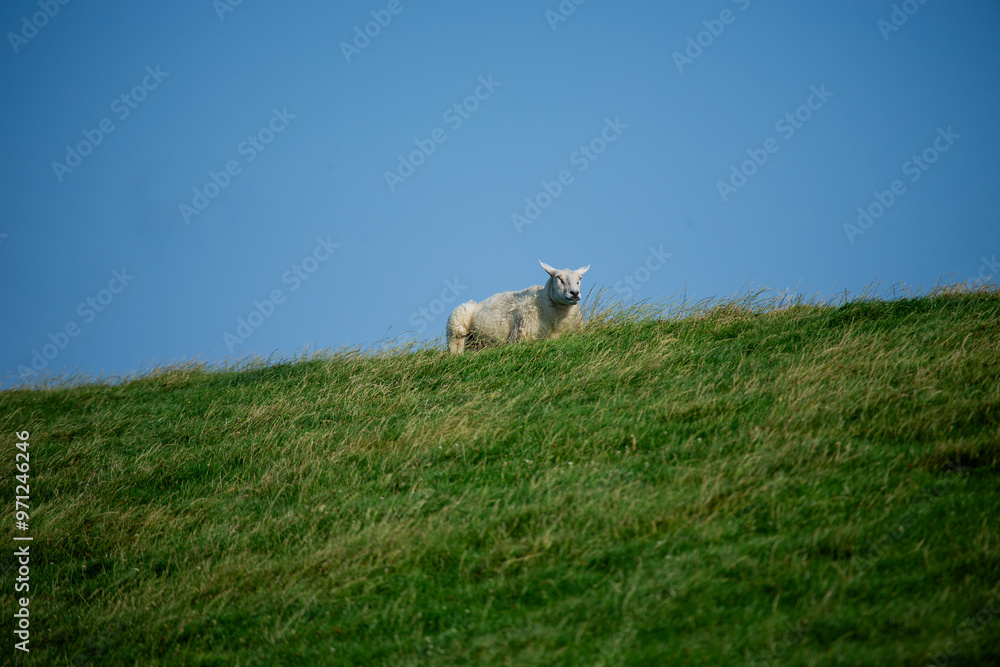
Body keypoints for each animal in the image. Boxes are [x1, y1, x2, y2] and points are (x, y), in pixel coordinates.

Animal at [446, 261, 590, 354]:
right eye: (558, 278)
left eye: (579, 279)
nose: (574, 293)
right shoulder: (521, 337)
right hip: (457, 327)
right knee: (456, 345)